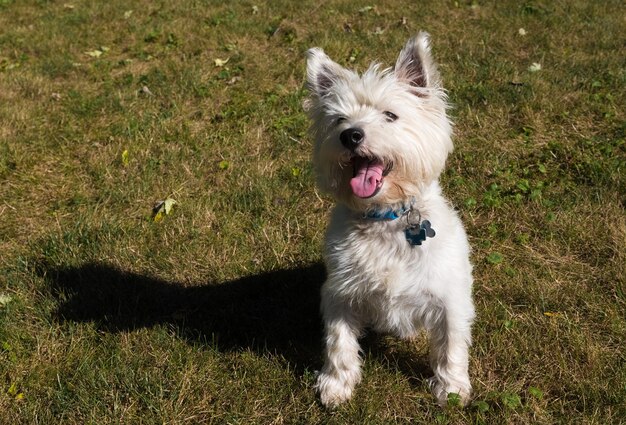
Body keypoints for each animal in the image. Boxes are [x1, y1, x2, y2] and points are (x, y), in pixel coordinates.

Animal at [304, 31, 472, 406]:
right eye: (338, 120)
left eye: (390, 115)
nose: (350, 135)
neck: (386, 219)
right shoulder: (340, 291)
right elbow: (338, 341)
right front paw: (336, 384)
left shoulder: (448, 295)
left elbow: (451, 343)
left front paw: (451, 389)